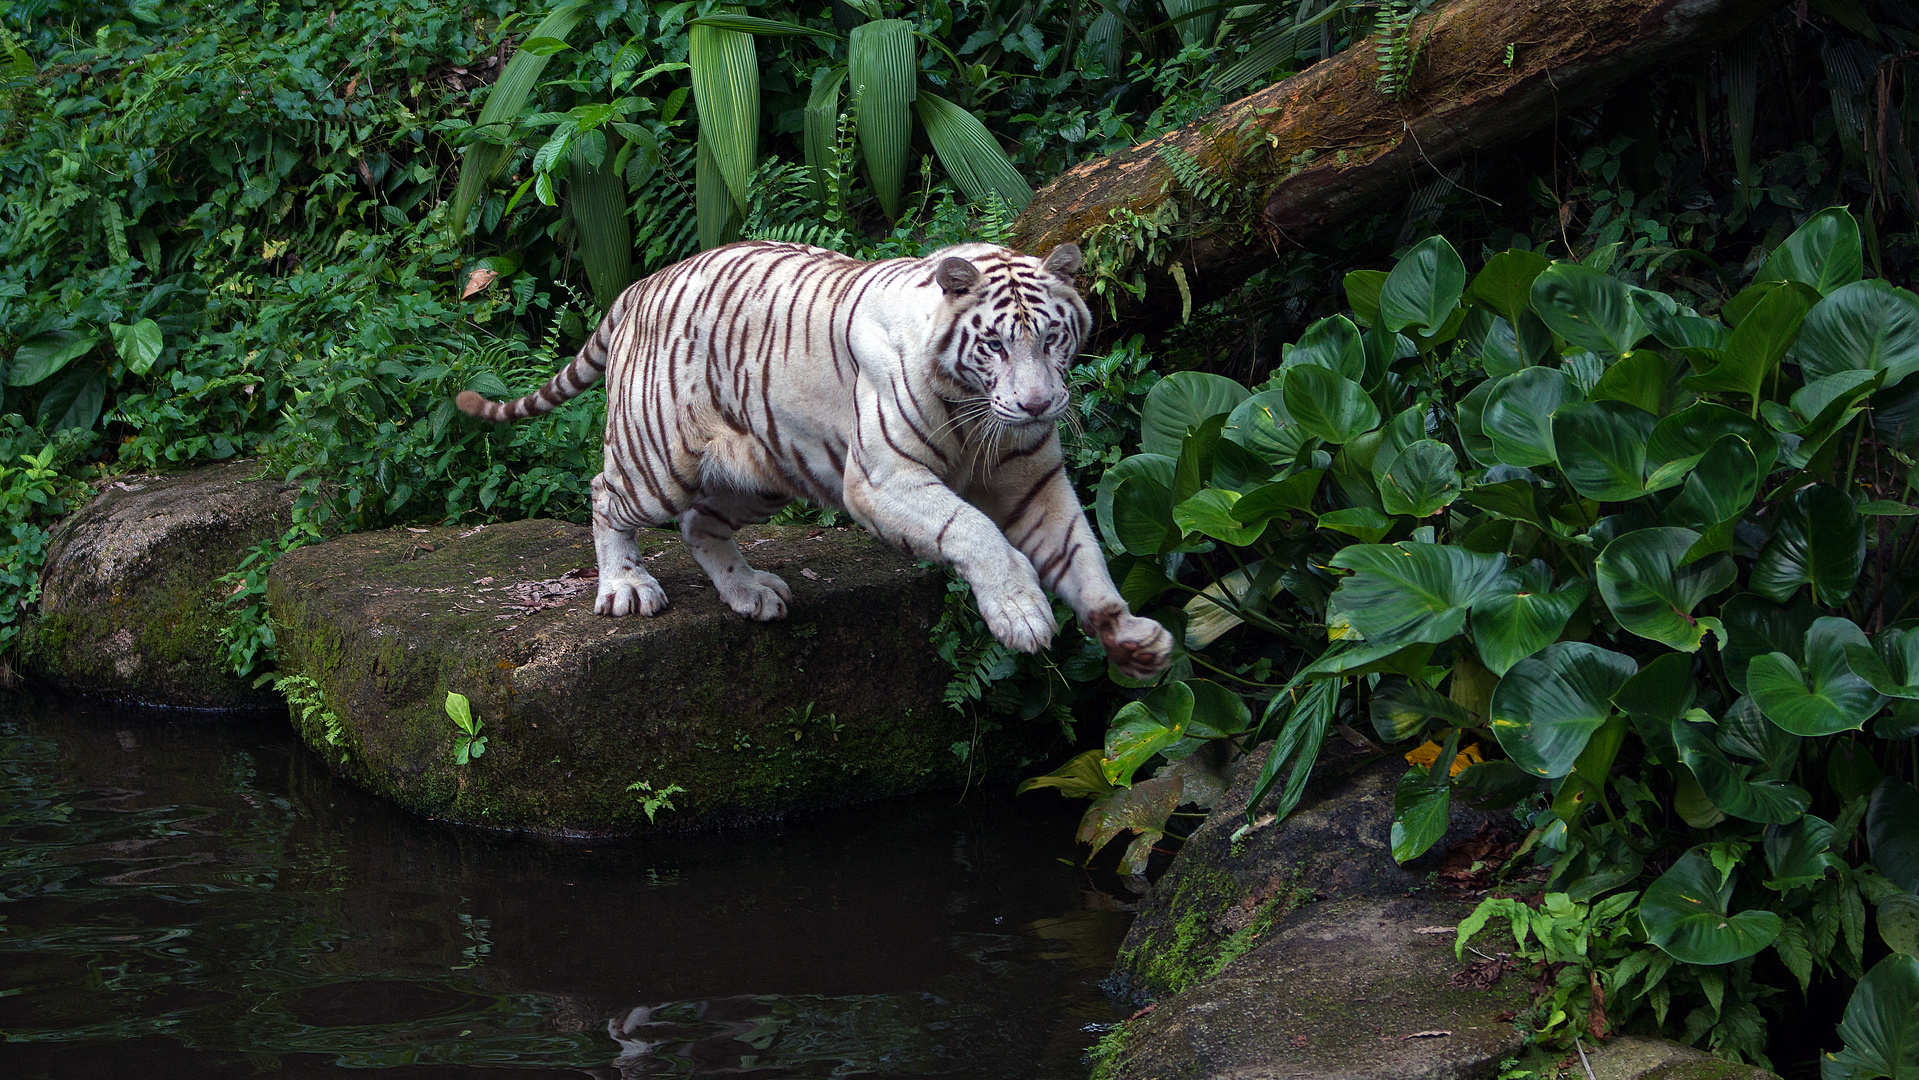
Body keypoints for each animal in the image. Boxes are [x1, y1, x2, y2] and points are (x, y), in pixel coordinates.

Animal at [458, 241, 1174, 679]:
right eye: (995, 345)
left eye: (1052, 338)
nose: (1037, 404)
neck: (980, 420)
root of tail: (638, 286)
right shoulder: (883, 480)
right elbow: (975, 530)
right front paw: (1022, 615)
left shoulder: (1034, 482)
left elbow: (1082, 552)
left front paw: (1131, 635)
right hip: (657, 458)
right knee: (605, 493)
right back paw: (626, 588)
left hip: (761, 471)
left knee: (700, 524)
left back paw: (750, 593)